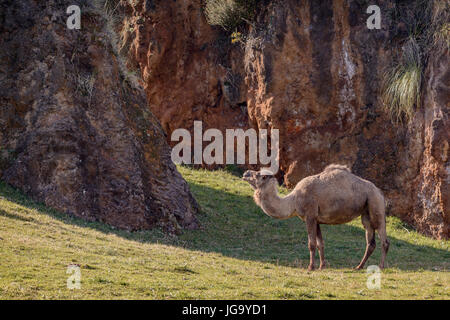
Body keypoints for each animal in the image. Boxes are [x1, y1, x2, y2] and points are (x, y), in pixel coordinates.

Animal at [244, 164, 388, 272]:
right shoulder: (317, 220)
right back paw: (359, 266)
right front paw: (321, 266)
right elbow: (320, 244)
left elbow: (312, 244)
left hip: (376, 205)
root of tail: (380, 193)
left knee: (384, 239)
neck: (293, 201)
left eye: (259, 175)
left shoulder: (310, 216)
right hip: (366, 213)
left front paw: (310, 267)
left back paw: (381, 266)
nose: (245, 173)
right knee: (370, 242)